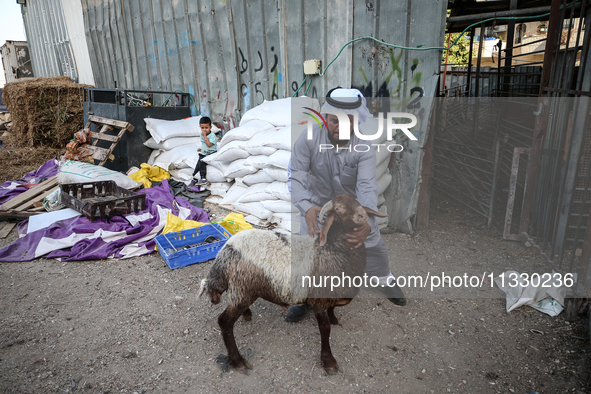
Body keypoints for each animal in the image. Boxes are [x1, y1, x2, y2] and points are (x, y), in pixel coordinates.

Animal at [199, 195, 388, 374]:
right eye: (339, 209)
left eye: (357, 201)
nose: (363, 216)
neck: (331, 250)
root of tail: (226, 250)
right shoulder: (319, 300)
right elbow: (325, 329)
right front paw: (329, 362)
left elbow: (332, 310)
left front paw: (334, 319)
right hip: (242, 288)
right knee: (224, 322)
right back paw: (237, 361)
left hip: (242, 289)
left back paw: (247, 314)